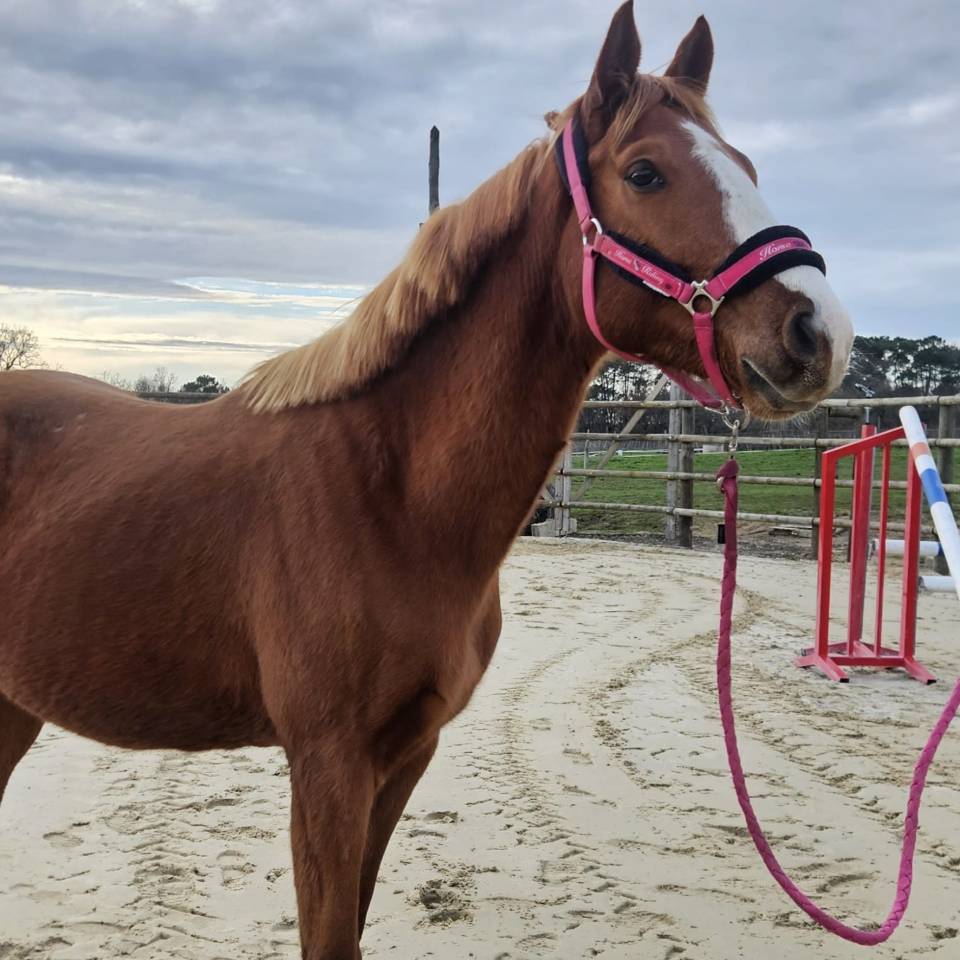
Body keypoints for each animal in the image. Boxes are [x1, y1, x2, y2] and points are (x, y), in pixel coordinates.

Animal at [0, 4, 853, 957]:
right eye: (645, 172)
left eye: (747, 166)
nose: (819, 335)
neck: (392, 497)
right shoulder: (328, 765)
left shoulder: (406, 756)